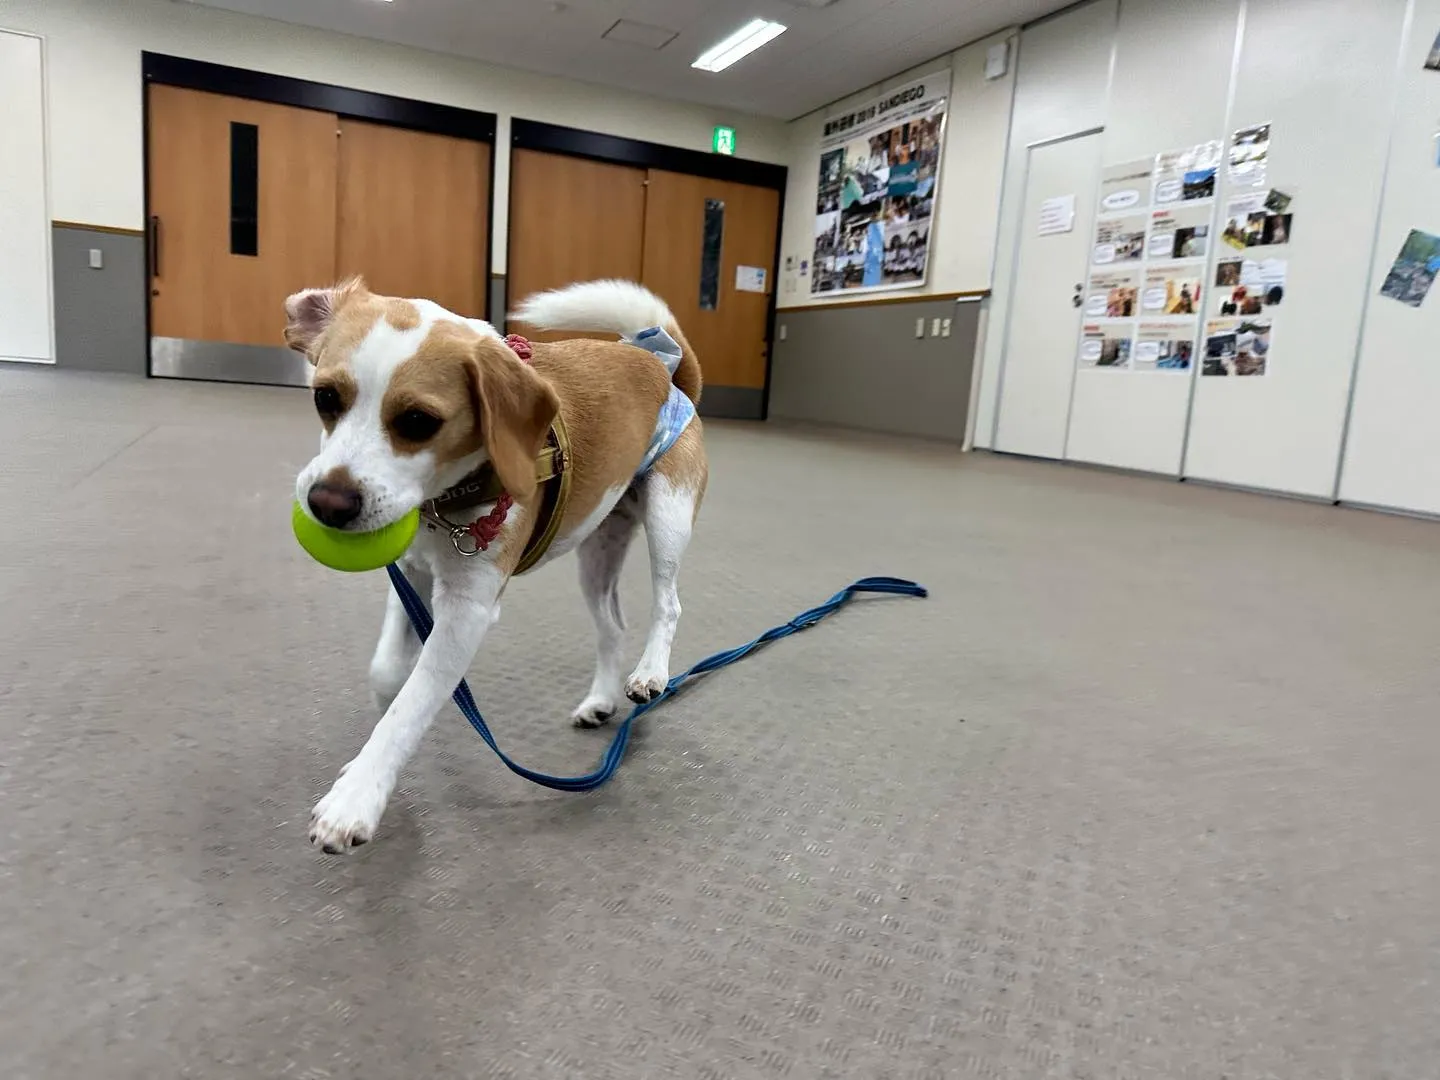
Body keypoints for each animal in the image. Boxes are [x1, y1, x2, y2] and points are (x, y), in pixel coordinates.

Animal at [283, 279, 705, 852]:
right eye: (325, 397)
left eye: (419, 422)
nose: (327, 503)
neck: (445, 501)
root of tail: (664, 365)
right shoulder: (412, 573)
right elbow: (389, 674)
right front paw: (375, 738)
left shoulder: (467, 610)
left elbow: (413, 702)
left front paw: (358, 796)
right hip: (597, 549)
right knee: (613, 626)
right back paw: (600, 700)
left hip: (668, 515)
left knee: (669, 603)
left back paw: (650, 673)